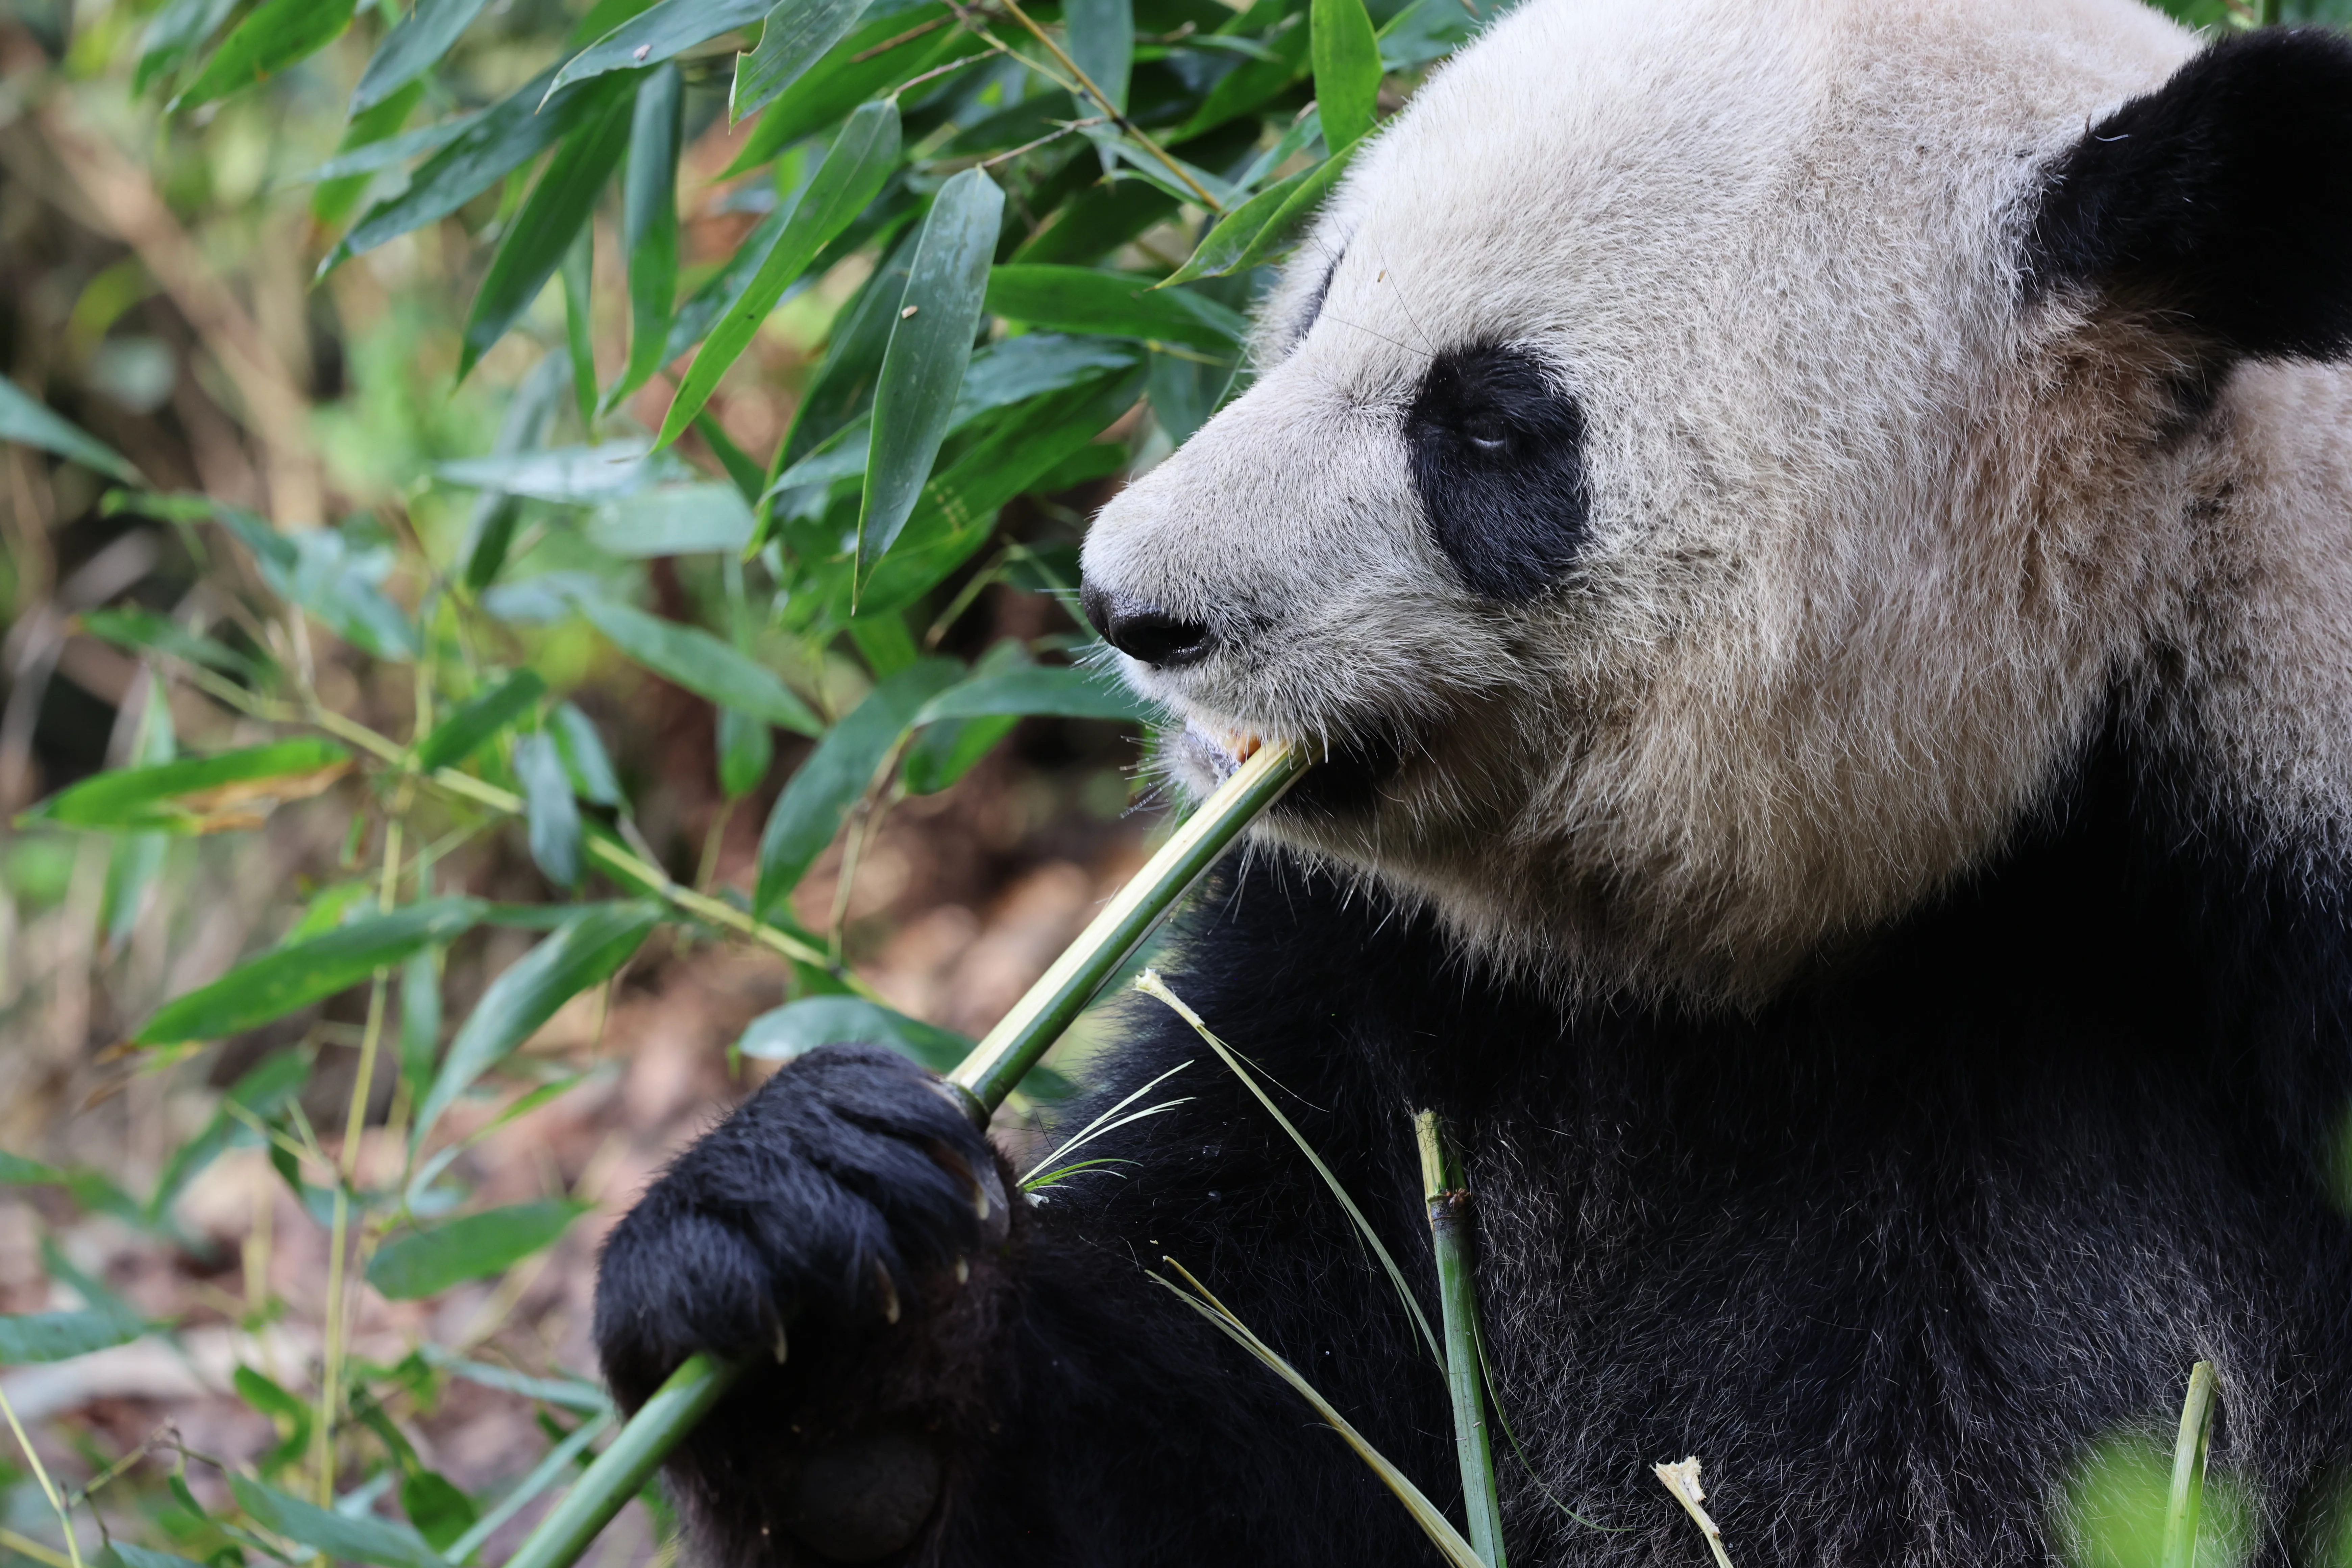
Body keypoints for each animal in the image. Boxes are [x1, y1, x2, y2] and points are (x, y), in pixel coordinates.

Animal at [591, 0, 2352, 1562]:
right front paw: (821, 1323)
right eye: (1320, 301)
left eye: (1494, 426)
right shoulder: (1370, 986)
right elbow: (1236, 1403)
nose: (1129, 604)